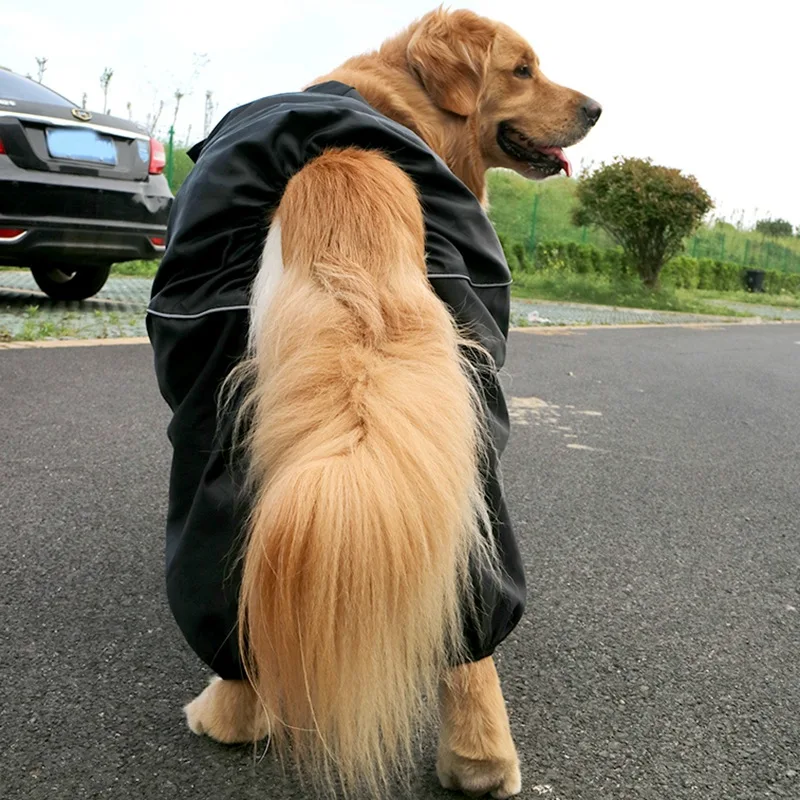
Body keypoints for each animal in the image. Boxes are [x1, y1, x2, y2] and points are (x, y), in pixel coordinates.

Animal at [183, 7, 600, 800]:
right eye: (523, 70)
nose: (597, 109)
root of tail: (343, 172)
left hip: (206, 419)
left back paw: (224, 717)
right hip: (465, 427)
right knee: (467, 620)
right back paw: (481, 763)